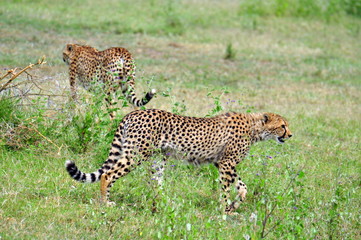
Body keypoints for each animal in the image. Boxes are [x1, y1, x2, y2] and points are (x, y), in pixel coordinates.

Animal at [64, 109, 290, 214]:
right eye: (282, 126)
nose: (290, 135)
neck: (255, 129)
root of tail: (133, 112)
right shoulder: (226, 163)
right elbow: (227, 188)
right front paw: (226, 210)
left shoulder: (221, 162)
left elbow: (242, 185)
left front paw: (236, 202)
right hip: (136, 155)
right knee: (108, 174)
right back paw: (106, 202)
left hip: (156, 159)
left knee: (155, 184)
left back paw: (165, 204)